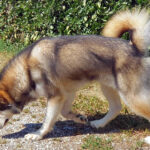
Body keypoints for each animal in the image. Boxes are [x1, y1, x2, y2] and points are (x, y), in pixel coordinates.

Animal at [0, 8, 150, 142]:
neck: (26, 70)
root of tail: (133, 47)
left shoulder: (56, 96)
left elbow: (47, 120)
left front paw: (38, 134)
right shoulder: (67, 92)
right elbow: (64, 112)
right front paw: (79, 118)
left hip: (131, 97)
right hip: (107, 87)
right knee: (116, 107)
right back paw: (99, 123)